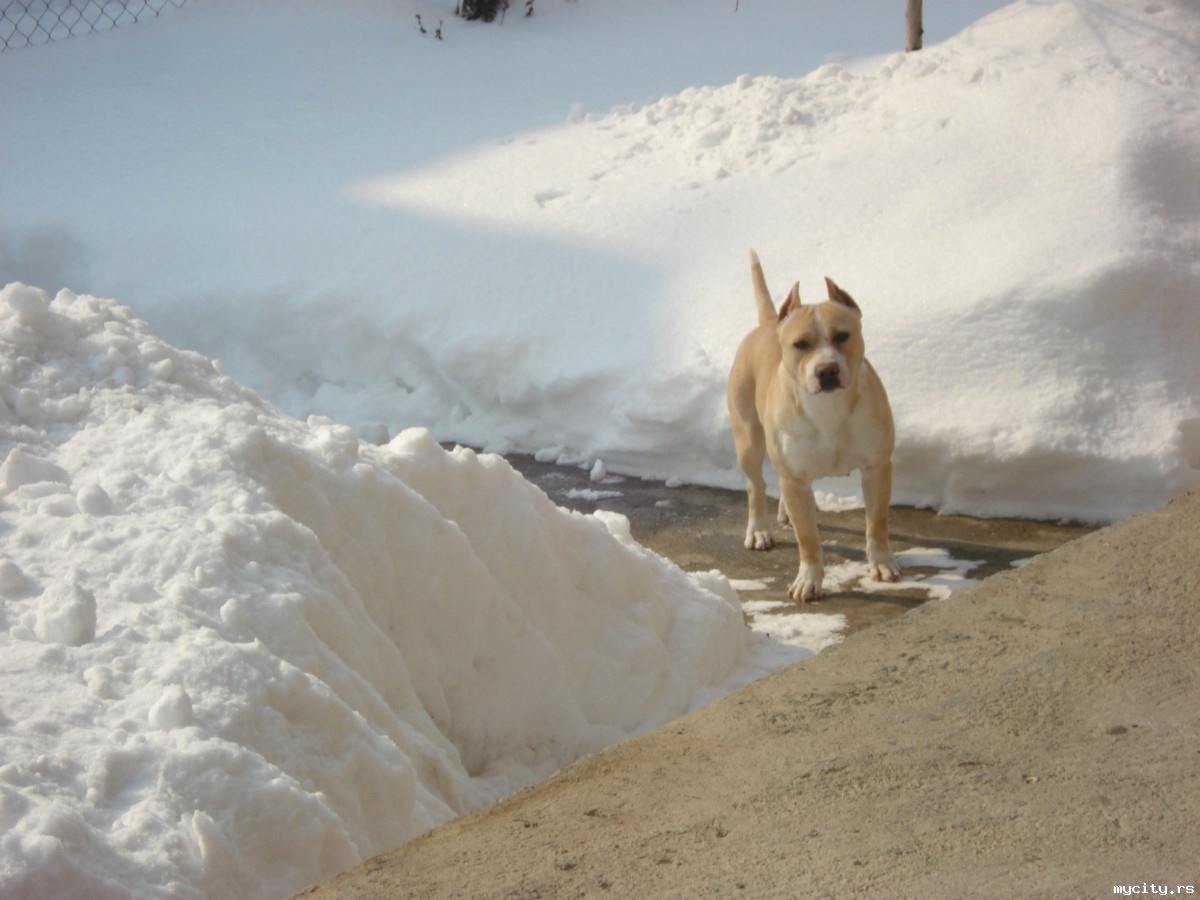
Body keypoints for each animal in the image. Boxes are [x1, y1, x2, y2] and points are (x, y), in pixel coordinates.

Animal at [727, 250, 900, 601]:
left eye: (842, 335)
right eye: (800, 344)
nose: (827, 370)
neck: (829, 409)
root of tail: (769, 323)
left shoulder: (876, 467)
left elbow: (876, 522)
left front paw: (881, 563)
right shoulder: (794, 478)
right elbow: (807, 538)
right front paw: (809, 580)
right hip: (749, 440)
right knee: (756, 485)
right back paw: (759, 529)